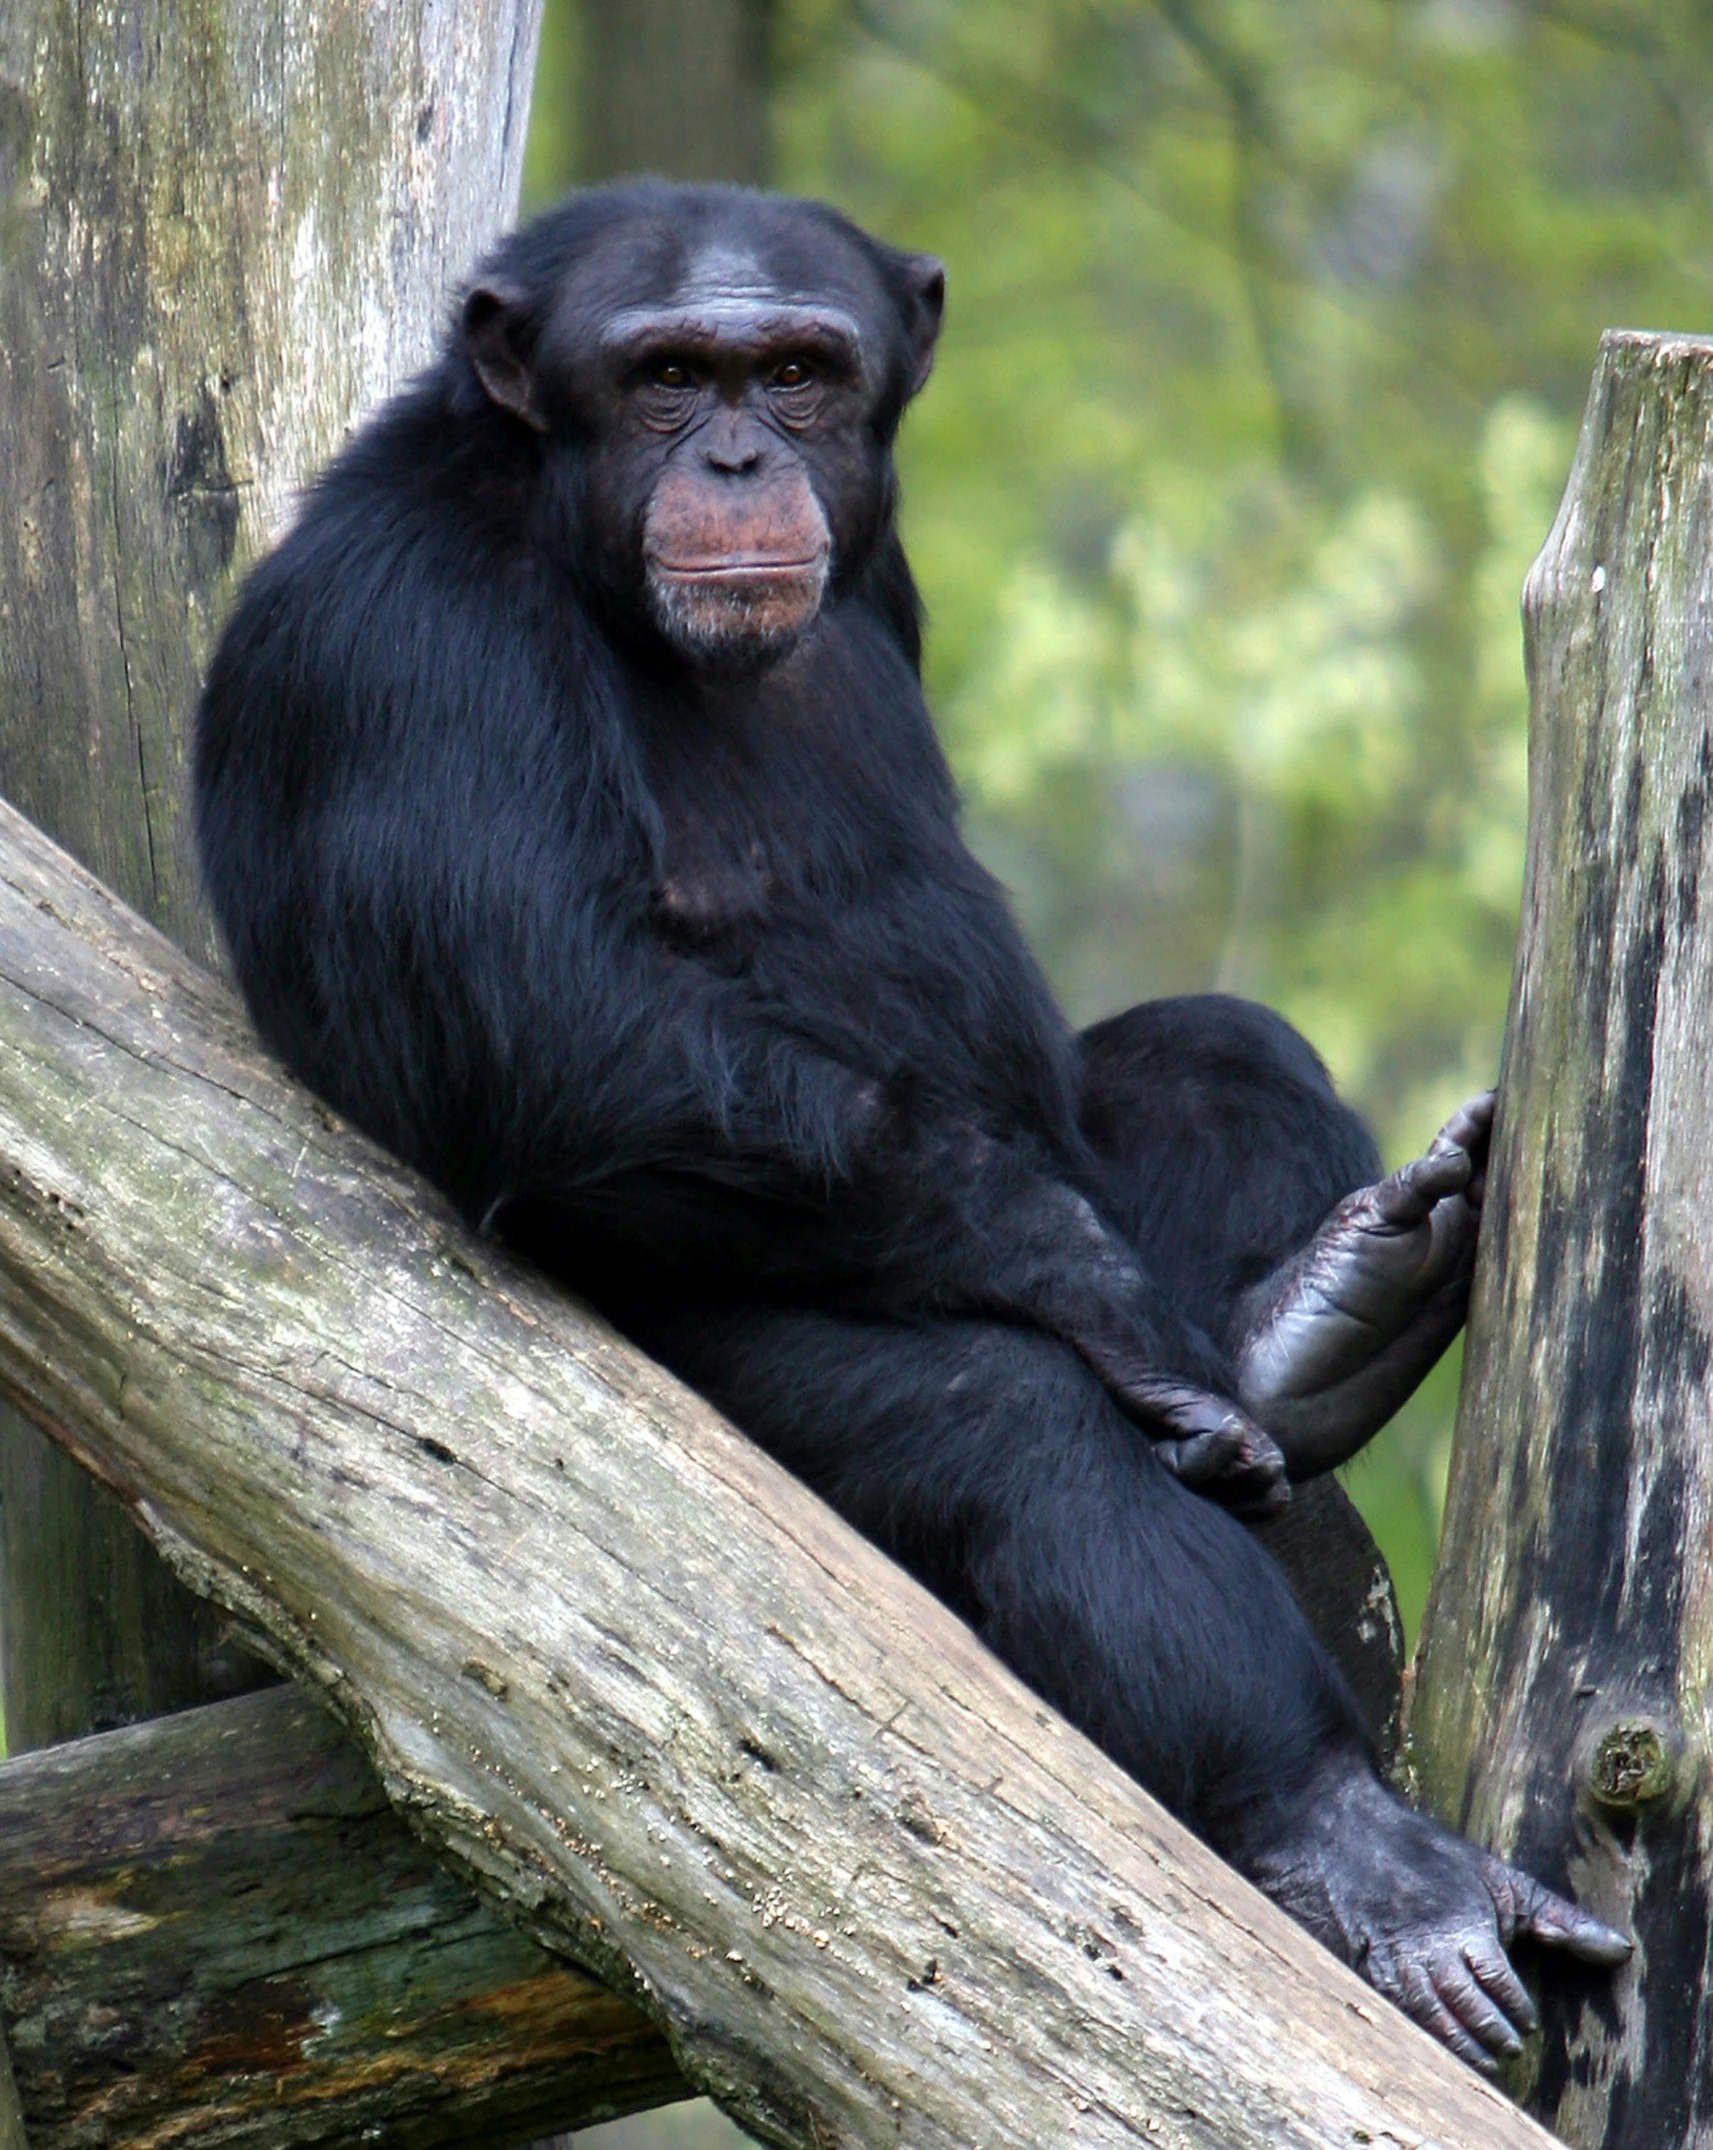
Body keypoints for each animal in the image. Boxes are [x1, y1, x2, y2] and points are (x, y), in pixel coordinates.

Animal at [193, 184, 1624, 2064]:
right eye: (665, 376)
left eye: (798, 371)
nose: (735, 453)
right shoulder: (396, 627)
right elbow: (552, 1010)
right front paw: (1100, 1300)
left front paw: (1250, 1330)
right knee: (1015, 1434)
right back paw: (1341, 1828)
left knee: (1211, 1054)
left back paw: (1312, 1325)